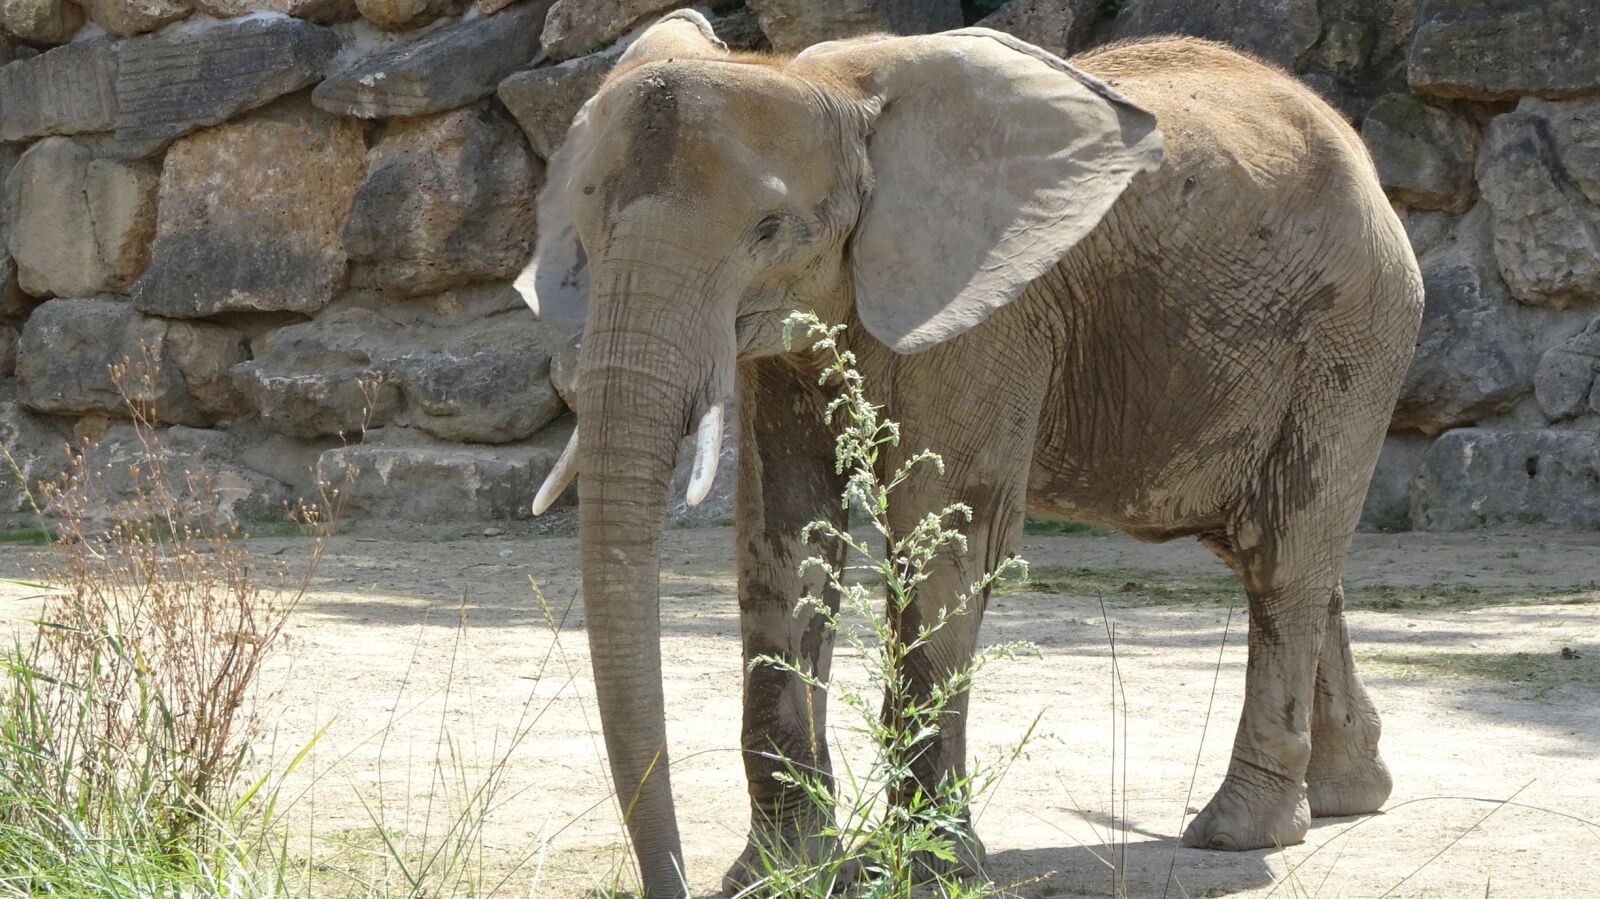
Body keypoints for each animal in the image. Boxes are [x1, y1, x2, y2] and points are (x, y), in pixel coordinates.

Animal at [521, 10, 1427, 889]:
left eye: (769, 229)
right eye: (585, 228)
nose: (670, 880)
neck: (828, 87)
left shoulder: (990, 313)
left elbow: (947, 539)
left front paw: (929, 869)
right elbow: (784, 536)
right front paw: (779, 873)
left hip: (1352, 331)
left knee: (1285, 553)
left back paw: (1239, 832)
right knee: (1270, 545)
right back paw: (1349, 795)